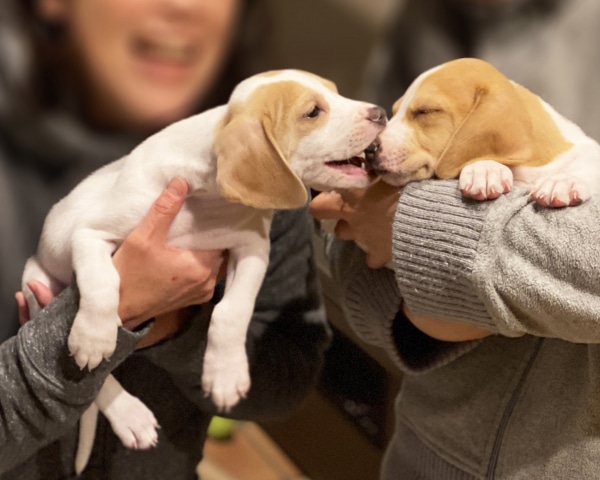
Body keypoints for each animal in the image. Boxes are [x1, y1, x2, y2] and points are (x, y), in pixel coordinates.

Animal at [22, 69, 384, 474]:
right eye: (313, 112)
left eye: (336, 93)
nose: (381, 112)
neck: (206, 199)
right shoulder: (89, 234)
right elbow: (103, 283)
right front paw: (93, 337)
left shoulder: (253, 249)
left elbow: (232, 312)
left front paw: (225, 374)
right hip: (35, 286)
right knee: (98, 378)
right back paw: (129, 413)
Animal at [368, 57, 600, 205]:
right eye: (393, 112)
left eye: (426, 111)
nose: (368, 149)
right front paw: (485, 170)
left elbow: (587, 162)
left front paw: (563, 181)